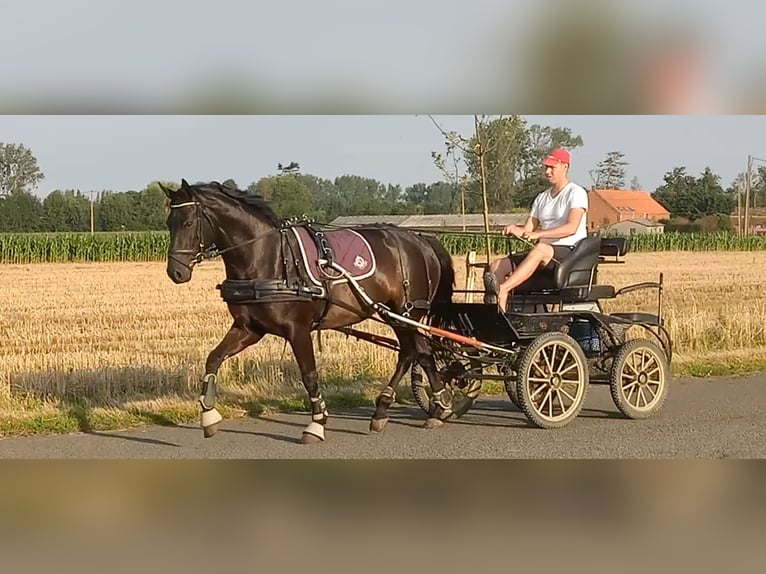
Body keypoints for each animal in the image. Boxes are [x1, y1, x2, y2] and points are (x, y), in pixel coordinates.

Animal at [162, 181, 456, 446]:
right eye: (168, 223)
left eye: (188, 223)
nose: (175, 272)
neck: (267, 257)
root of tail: (421, 240)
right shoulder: (249, 329)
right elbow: (213, 359)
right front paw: (208, 416)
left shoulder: (298, 330)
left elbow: (309, 375)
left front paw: (316, 424)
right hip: (396, 315)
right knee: (417, 352)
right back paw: (416, 408)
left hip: (407, 312)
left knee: (415, 352)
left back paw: (423, 406)